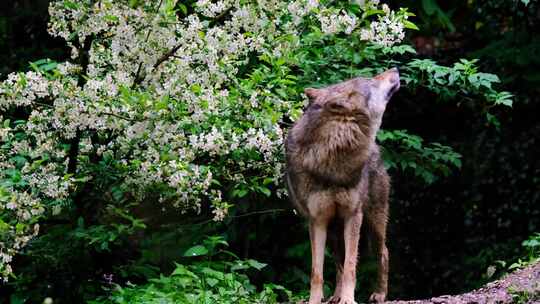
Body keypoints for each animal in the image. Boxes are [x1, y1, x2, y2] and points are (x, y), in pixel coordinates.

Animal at [284, 69, 398, 304]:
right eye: (371, 81)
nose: (395, 69)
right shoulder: (317, 221)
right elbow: (317, 271)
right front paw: (315, 300)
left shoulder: (353, 215)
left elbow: (351, 266)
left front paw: (349, 299)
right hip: (334, 232)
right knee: (338, 262)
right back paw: (334, 296)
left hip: (374, 223)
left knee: (383, 252)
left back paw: (380, 294)